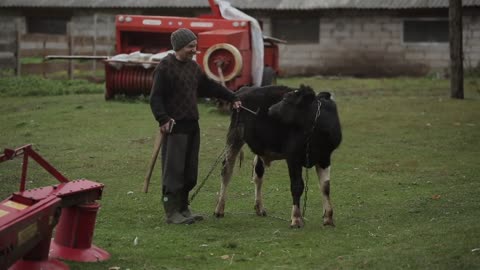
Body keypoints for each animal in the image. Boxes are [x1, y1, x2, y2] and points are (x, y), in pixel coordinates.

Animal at [214, 84, 342, 228]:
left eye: (287, 100)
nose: (270, 109)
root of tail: (244, 89)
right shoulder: (293, 158)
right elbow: (297, 186)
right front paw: (296, 218)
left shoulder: (325, 158)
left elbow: (325, 187)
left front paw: (328, 218)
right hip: (235, 136)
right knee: (226, 170)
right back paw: (219, 209)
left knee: (258, 175)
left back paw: (259, 208)